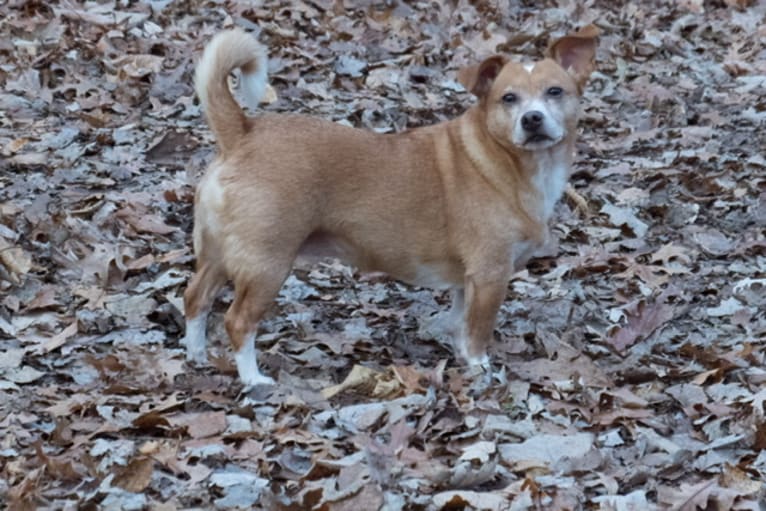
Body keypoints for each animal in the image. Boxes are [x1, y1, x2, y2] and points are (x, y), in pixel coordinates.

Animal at [184, 24, 600, 384]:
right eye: (508, 98)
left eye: (555, 92)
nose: (532, 119)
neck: (511, 164)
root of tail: (242, 133)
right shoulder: (490, 275)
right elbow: (478, 331)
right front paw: (480, 368)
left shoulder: (467, 279)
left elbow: (459, 321)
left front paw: (459, 353)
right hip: (267, 264)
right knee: (238, 321)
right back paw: (253, 379)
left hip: (218, 255)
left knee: (195, 299)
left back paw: (196, 356)